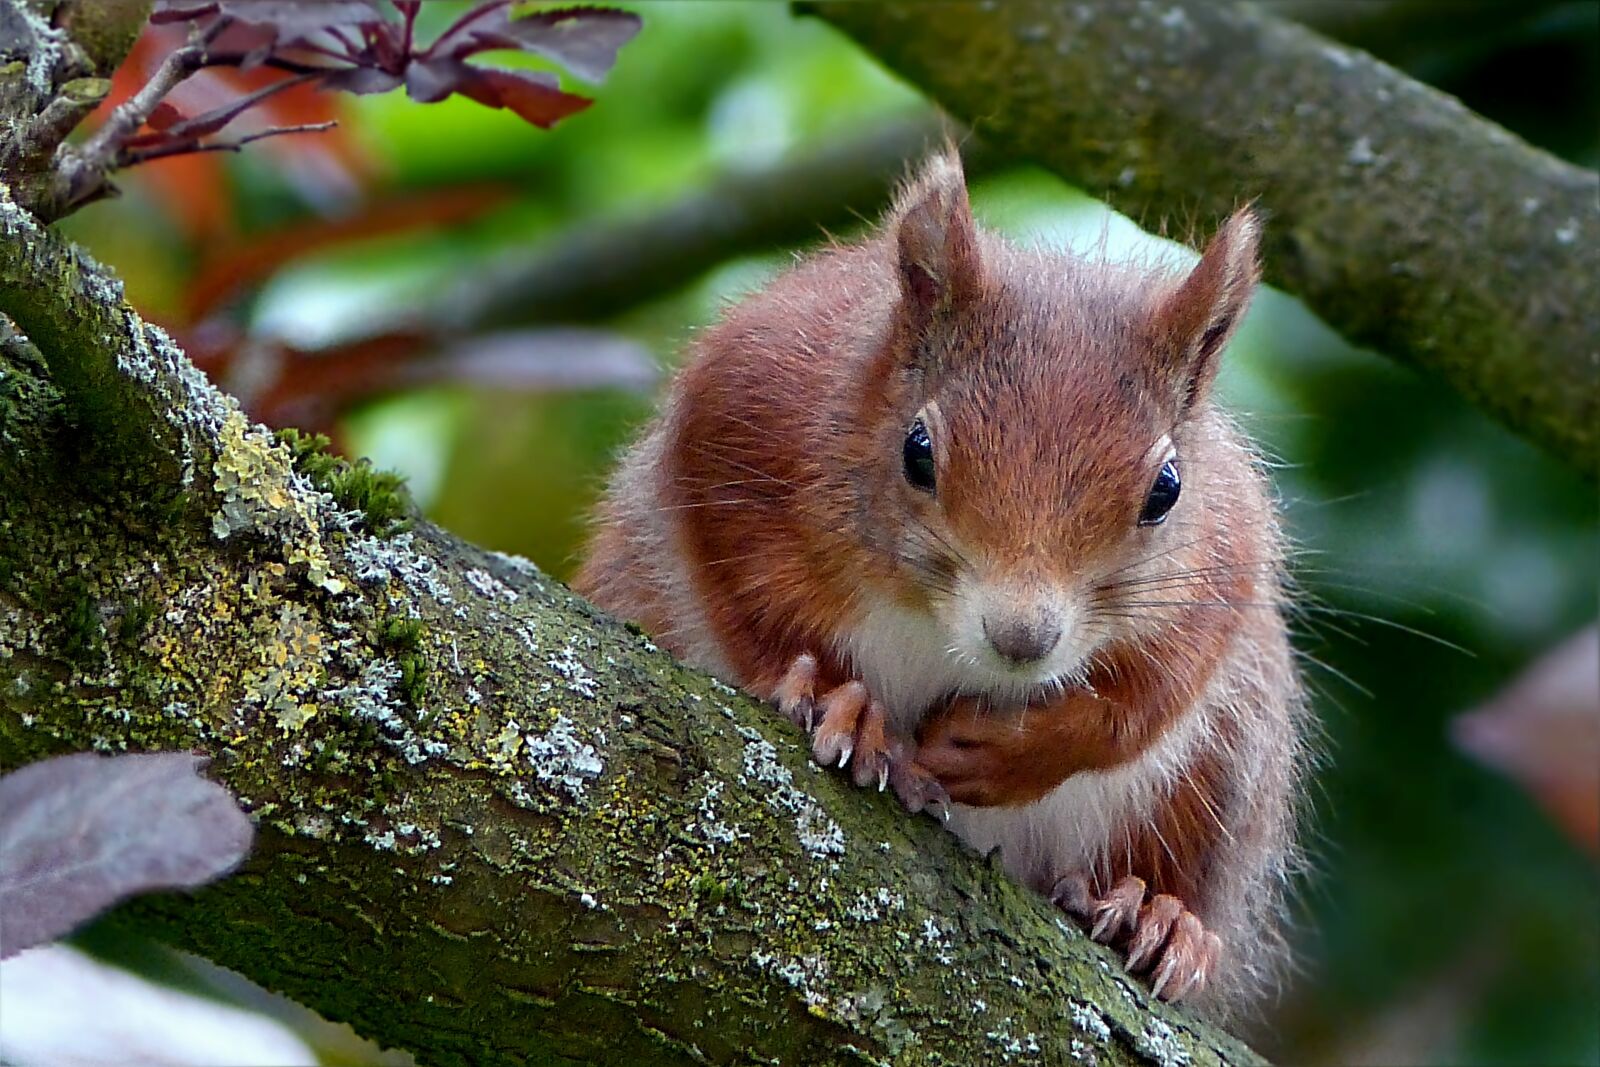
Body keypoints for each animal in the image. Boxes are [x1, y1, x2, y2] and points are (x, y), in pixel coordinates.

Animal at [577, 150, 1304, 1017]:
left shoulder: (1225, 558)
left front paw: (1013, 752)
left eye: (1167, 489)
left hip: (1228, 765)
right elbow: (744, 591)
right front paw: (837, 699)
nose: (1022, 638)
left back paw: (1159, 916)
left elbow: (1148, 697)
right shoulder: (746, 415)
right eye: (917, 450)